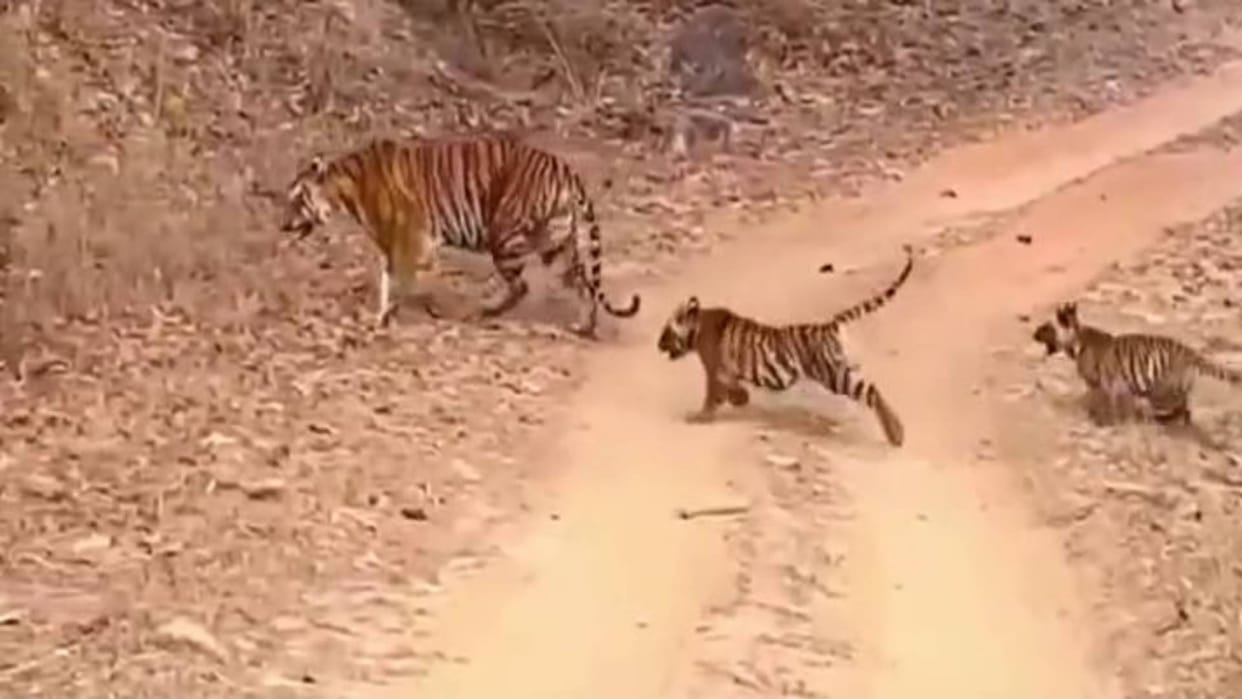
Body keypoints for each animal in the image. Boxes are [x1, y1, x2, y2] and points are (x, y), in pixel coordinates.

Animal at [279, 133, 641, 338]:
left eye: (297, 199)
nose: (282, 225)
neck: (347, 189)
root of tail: (565, 169)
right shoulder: (389, 243)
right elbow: (384, 279)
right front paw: (379, 314)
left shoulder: (408, 238)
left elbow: (398, 281)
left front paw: (386, 318)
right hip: (558, 242)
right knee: (584, 285)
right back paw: (585, 327)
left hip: (504, 235)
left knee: (523, 286)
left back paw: (482, 313)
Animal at [656, 244, 915, 446]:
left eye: (666, 331)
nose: (658, 344)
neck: (697, 326)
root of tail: (832, 325)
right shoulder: (725, 370)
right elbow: (732, 388)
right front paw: (740, 399)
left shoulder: (715, 369)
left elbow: (712, 395)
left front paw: (700, 416)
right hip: (845, 367)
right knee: (872, 387)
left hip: (834, 375)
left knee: (872, 391)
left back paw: (896, 434)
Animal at [1032, 301, 1242, 425]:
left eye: (1046, 328)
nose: (1033, 334)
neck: (1077, 340)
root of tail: (1191, 352)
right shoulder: (1111, 385)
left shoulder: (1104, 384)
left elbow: (1102, 403)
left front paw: (1102, 420)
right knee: (1184, 408)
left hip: (1162, 390)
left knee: (1180, 408)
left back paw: (1163, 420)